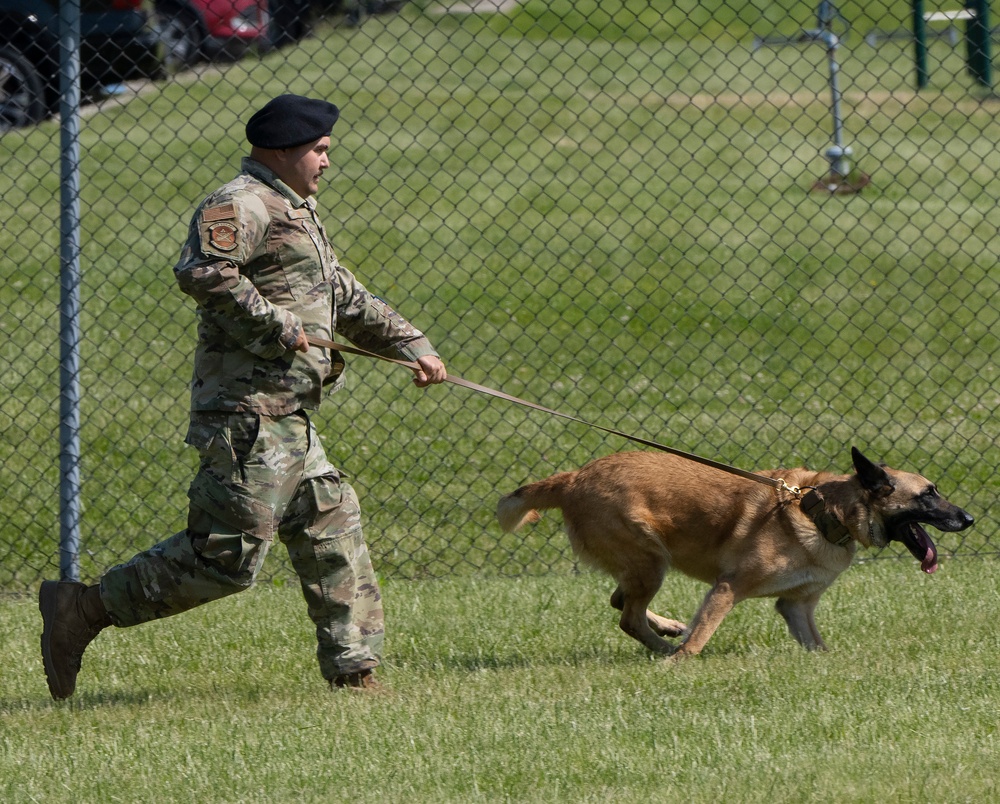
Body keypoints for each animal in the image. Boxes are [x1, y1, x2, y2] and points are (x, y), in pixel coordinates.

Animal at [496, 446, 972, 660]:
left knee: (621, 602)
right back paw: (665, 648)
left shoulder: (795, 606)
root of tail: (573, 478)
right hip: (651, 561)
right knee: (627, 617)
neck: (824, 512)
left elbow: (817, 645)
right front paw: (681, 663)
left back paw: (667, 629)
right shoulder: (727, 588)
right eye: (928, 494)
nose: (968, 518)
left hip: (644, 565)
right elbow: (701, 637)